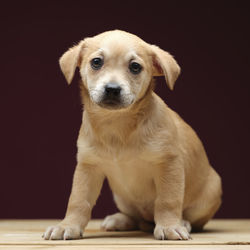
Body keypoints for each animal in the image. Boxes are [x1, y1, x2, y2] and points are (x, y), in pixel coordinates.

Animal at [43, 29, 223, 240]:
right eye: (96, 62)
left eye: (135, 67)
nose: (112, 89)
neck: (117, 125)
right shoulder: (87, 167)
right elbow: (78, 200)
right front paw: (68, 225)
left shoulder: (168, 164)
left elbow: (168, 201)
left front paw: (169, 226)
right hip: (122, 198)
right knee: (136, 218)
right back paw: (120, 219)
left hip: (211, 190)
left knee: (192, 220)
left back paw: (183, 222)